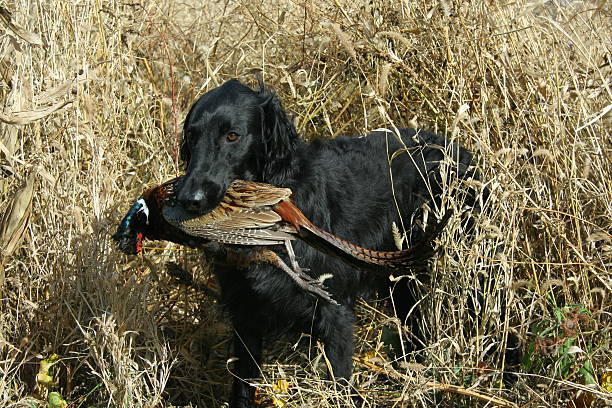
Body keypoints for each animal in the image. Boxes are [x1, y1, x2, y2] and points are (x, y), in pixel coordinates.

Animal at [176, 78, 482, 406]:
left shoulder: (335, 312)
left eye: (232, 135)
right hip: (399, 278)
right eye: (192, 136)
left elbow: (340, 382)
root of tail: (459, 149)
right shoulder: (245, 311)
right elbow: (243, 387)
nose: (189, 200)